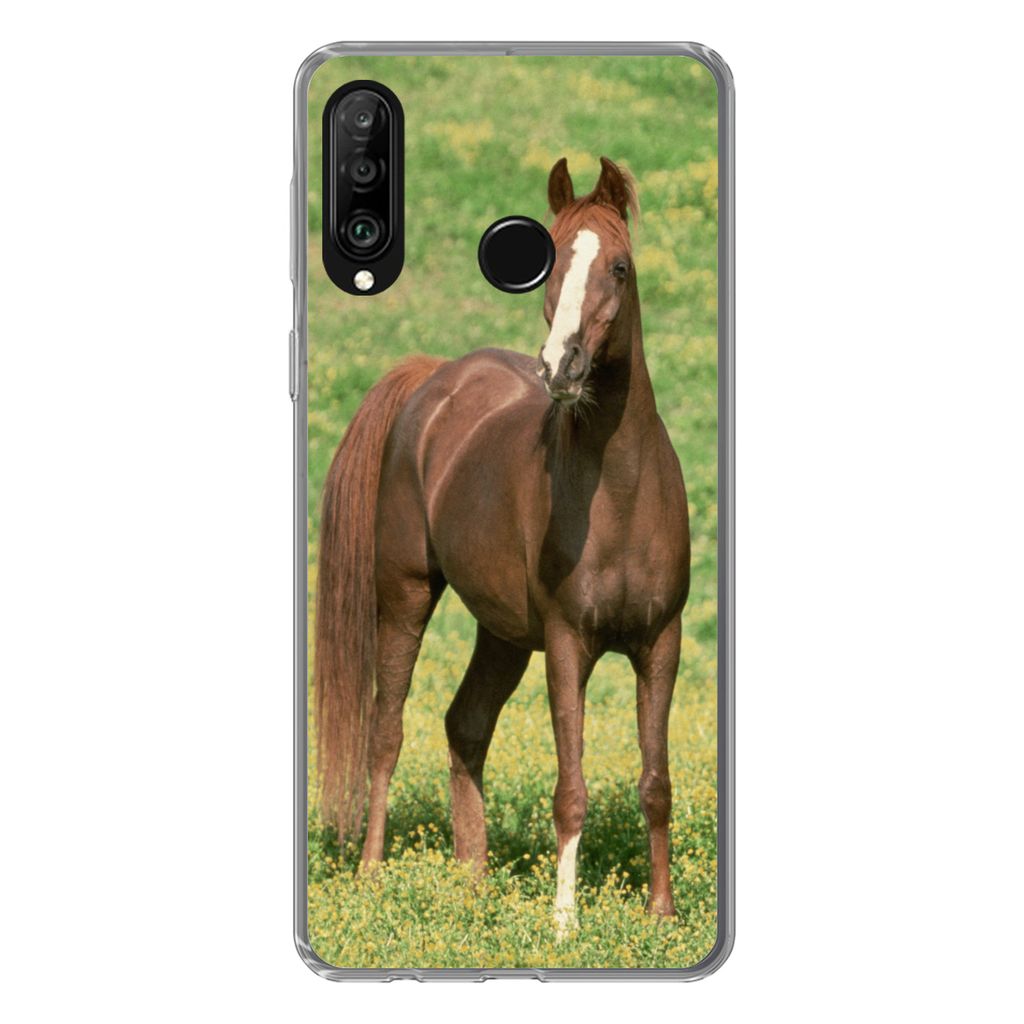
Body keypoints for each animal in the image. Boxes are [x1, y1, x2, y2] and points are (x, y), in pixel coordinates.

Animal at [314, 156, 691, 931]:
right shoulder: (570, 645)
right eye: (548, 262)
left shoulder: (660, 643)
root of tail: (433, 377)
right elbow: (571, 788)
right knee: (386, 732)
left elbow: (655, 781)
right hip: (405, 595)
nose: (561, 368)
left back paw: (472, 882)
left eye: (620, 267)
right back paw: (371, 874)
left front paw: (662, 917)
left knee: (466, 726)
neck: (621, 497)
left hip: (504, 632)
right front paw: (564, 924)